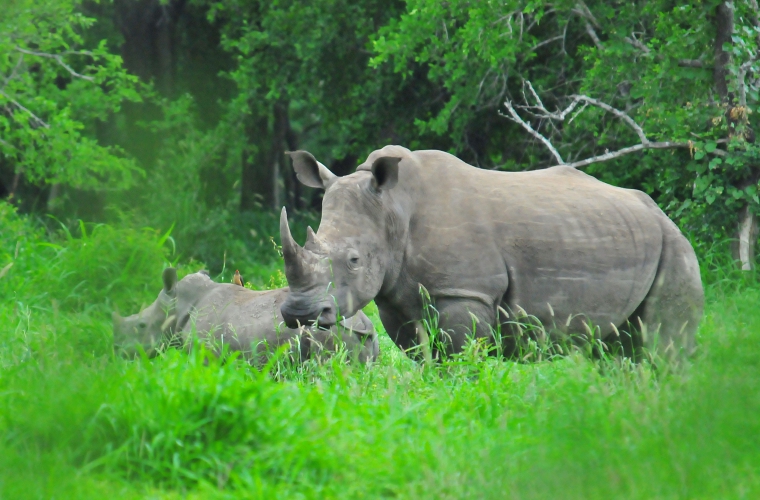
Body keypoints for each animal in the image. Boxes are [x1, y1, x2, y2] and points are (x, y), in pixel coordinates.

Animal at [113, 270, 380, 364]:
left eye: (141, 325)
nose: (121, 352)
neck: (180, 304)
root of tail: (363, 323)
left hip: (328, 333)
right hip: (366, 336)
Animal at [276, 146, 704, 362]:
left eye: (354, 259)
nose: (298, 313)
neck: (393, 211)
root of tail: (658, 211)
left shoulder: (465, 293)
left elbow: (460, 360)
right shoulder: (396, 297)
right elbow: (426, 358)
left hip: (674, 245)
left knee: (662, 349)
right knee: (618, 351)